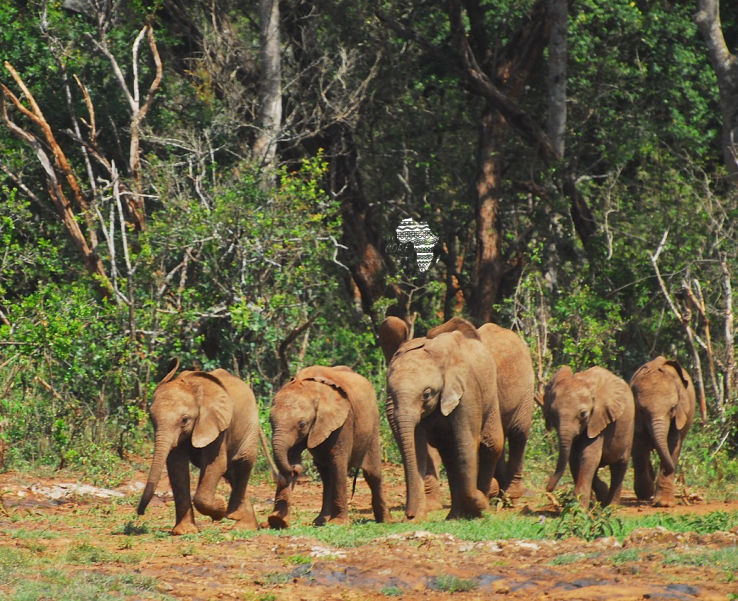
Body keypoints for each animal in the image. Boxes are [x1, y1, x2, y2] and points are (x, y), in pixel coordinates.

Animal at [137, 361, 260, 535]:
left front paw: (220, 506)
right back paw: (245, 525)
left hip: (251, 424)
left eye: (184, 420)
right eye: (152, 419)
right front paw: (184, 531)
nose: (140, 513)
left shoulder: (218, 425)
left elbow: (215, 465)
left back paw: (237, 520)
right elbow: (177, 467)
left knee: (243, 463)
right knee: (231, 472)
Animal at [267, 365, 391, 528]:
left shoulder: (344, 421)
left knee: (372, 473)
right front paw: (277, 521)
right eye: (270, 421)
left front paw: (338, 524)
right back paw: (320, 521)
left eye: (302, 424)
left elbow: (338, 461)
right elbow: (292, 456)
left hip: (373, 424)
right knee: (326, 474)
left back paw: (385, 520)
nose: (297, 469)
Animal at [379, 316, 534, 508]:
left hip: (526, 389)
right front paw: (431, 506)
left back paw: (509, 497)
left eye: (426, 393)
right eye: (388, 387)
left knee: (518, 433)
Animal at [541, 366, 635, 507]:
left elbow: (589, 456)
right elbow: (575, 459)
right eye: (553, 414)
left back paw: (611, 506)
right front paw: (588, 503)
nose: (548, 489)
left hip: (629, 430)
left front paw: (580, 508)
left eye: (583, 414)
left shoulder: (599, 419)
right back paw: (602, 499)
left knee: (619, 466)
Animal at [630, 356, 696, 507]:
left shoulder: (680, 414)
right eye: (642, 411)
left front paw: (665, 503)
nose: (681, 478)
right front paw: (646, 492)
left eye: (672, 409)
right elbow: (639, 445)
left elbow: (672, 443)